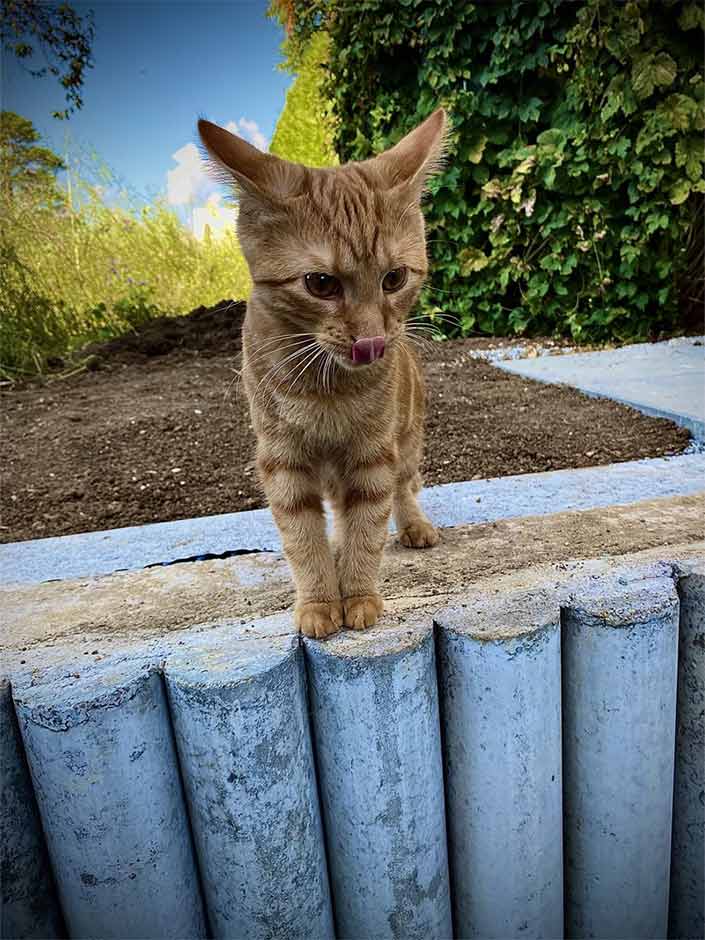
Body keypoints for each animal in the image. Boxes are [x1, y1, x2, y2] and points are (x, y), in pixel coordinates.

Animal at [198, 108, 446, 640]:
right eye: (320, 283)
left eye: (394, 278)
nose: (372, 342)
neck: (327, 388)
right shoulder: (283, 461)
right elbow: (302, 536)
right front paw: (318, 600)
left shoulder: (374, 455)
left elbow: (368, 527)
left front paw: (359, 596)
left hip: (407, 439)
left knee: (402, 488)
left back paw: (412, 525)